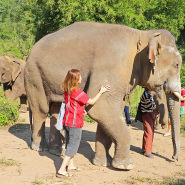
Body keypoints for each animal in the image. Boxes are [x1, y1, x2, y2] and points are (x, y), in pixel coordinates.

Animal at [24, 21, 182, 170]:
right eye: (177, 65)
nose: (173, 158)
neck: (142, 35)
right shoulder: (112, 66)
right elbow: (100, 109)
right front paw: (124, 166)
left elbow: (108, 113)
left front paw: (102, 163)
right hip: (34, 74)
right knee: (41, 109)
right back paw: (40, 148)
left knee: (56, 109)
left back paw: (58, 151)